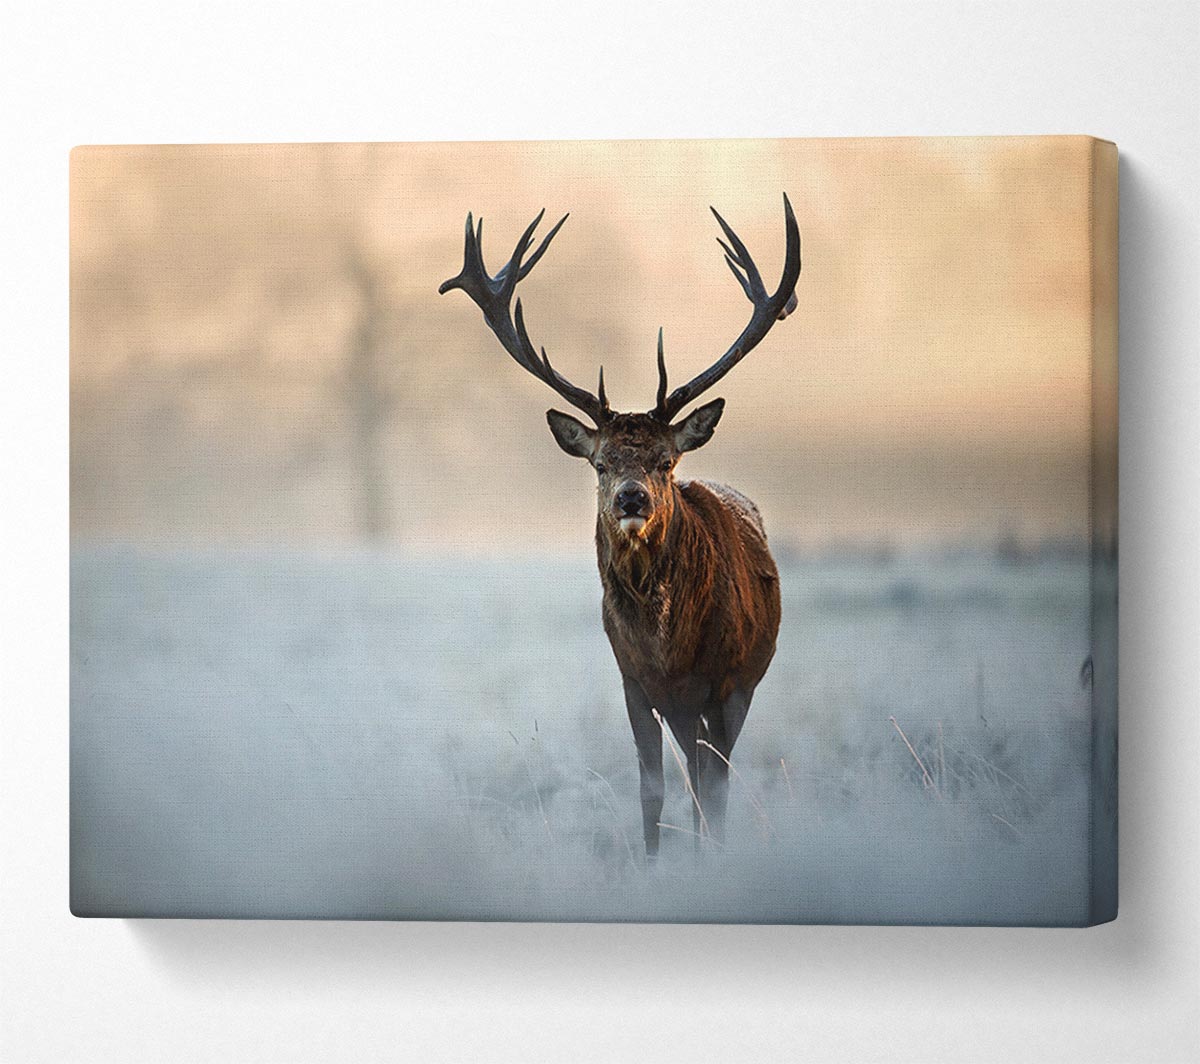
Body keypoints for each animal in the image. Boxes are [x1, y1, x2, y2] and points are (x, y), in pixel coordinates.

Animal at [439, 196, 801, 856]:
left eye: (665, 461)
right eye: (601, 462)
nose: (632, 498)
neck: (668, 650)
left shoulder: (727, 684)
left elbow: (714, 788)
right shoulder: (633, 681)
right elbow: (651, 789)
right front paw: (653, 863)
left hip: (742, 683)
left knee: (710, 778)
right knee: (692, 773)